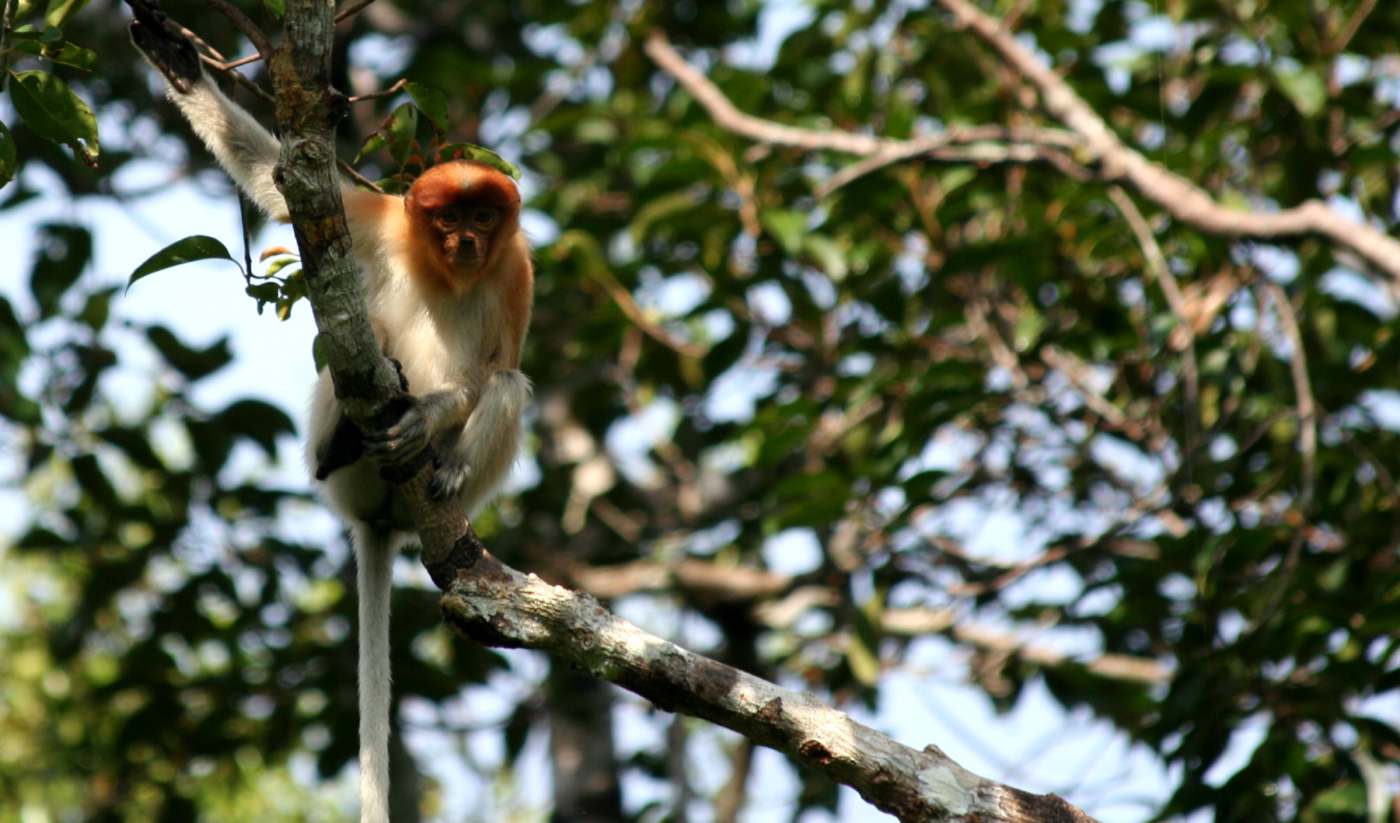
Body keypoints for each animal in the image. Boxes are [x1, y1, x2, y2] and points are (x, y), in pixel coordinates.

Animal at [126, 3, 533, 822]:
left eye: (482, 214)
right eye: (446, 218)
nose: (465, 241)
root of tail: (377, 521)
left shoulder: (518, 269)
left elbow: (495, 368)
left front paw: (428, 413)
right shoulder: (382, 222)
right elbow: (284, 188)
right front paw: (175, 61)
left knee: (508, 384)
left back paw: (441, 473)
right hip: (345, 466)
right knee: (347, 348)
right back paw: (339, 442)